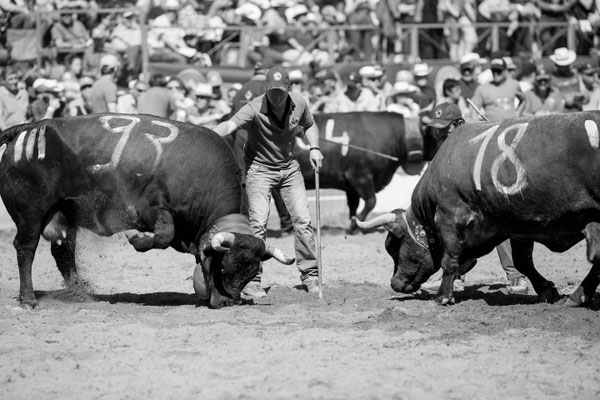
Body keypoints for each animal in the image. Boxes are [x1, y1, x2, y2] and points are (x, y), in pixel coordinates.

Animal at [0, 112, 292, 310]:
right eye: (225, 267)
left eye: (251, 274)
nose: (227, 303)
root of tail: (29, 128)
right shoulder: (150, 210)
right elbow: (163, 235)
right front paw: (137, 239)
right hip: (30, 214)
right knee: (25, 249)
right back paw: (28, 300)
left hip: (64, 214)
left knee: (63, 252)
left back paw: (79, 293)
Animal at [358, 111, 600, 308]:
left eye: (393, 247)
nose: (395, 283)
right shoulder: (517, 224)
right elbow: (523, 261)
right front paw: (546, 290)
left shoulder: (449, 215)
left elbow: (450, 258)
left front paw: (443, 296)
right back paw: (578, 296)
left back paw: (578, 296)